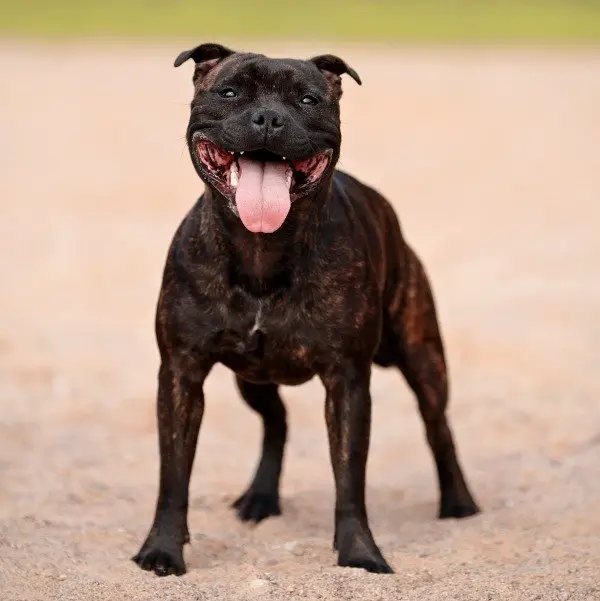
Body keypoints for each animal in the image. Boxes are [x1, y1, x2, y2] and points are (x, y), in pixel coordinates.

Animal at [132, 42, 478, 576]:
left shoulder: (348, 382)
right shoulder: (180, 374)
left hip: (424, 357)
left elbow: (350, 478)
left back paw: (458, 502)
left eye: (309, 100)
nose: (269, 118)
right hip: (251, 378)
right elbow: (173, 475)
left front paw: (360, 552)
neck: (261, 251)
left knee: (437, 424)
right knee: (276, 422)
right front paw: (162, 550)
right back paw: (260, 497)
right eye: (229, 92)